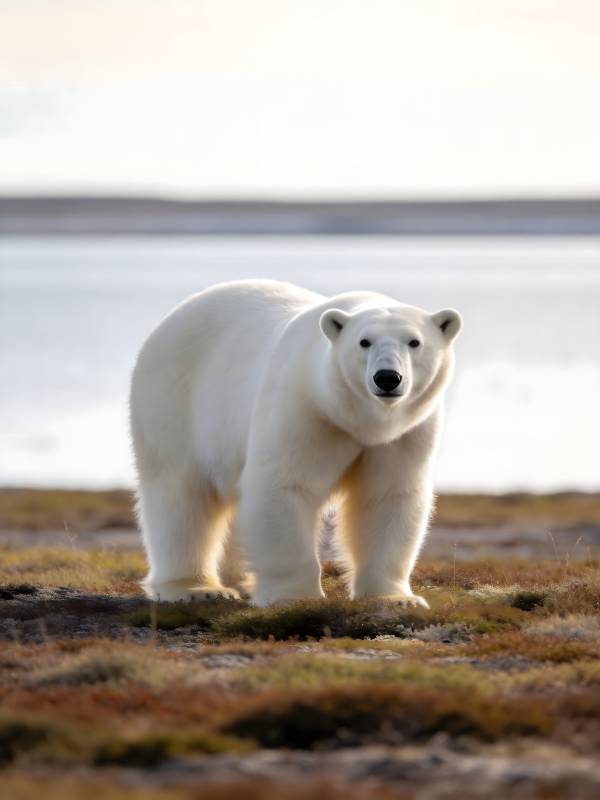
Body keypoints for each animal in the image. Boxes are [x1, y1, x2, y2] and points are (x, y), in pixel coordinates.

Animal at [130, 279, 462, 607]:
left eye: (414, 342)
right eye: (364, 342)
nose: (388, 378)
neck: (358, 419)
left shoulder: (405, 434)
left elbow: (387, 495)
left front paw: (396, 598)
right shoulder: (304, 408)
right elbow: (285, 484)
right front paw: (294, 596)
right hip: (175, 402)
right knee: (181, 496)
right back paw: (197, 588)